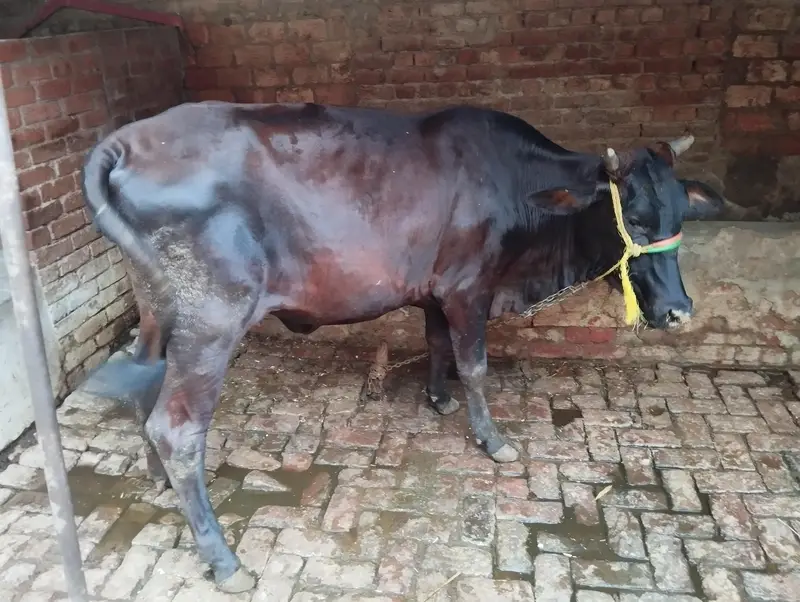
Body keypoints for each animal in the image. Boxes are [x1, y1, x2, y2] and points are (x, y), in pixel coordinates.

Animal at [80, 101, 726, 591]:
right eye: (634, 218)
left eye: (680, 213)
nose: (679, 310)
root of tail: (126, 142)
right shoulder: (469, 286)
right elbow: (474, 364)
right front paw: (492, 439)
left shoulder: (437, 289)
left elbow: (437, 344)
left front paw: (438, 398)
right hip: (211, 322)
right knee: (178, 427)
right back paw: (223, 558)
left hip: (159, 312)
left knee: (146, 389)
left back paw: (158, 480)